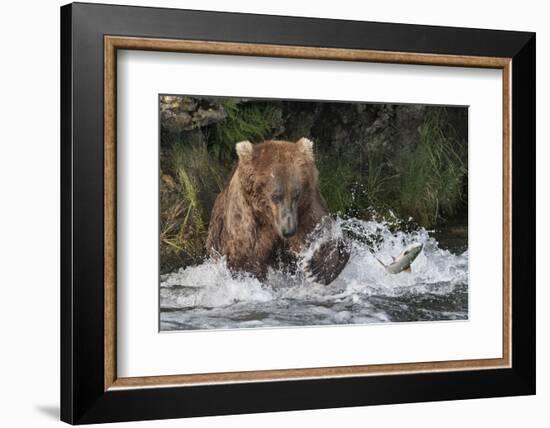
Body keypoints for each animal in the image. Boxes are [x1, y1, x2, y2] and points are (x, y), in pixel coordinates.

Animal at [207, 138, 350, 284]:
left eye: (296, 194)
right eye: (275, 196)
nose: (289, 230)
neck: (269, 219)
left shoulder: (306, 209)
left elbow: (320, 230)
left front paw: (318, 267)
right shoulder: (247, 225)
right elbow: (246, 261)